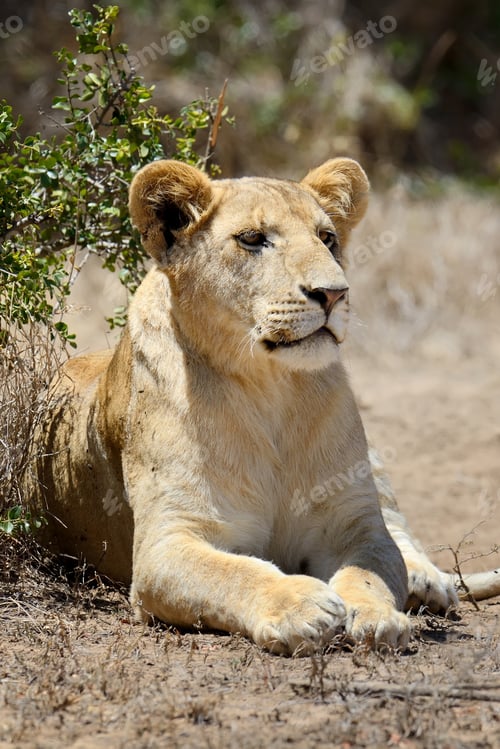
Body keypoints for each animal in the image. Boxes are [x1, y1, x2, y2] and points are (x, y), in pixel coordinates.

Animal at [28, 158, 500, 655]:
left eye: (327, 238)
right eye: (253, 239)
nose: (334, 293)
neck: (270, 389)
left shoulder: (355, 521)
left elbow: (370, 568)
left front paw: (376, 615)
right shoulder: (167, 541)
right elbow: (233, 572)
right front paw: (302, 606)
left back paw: (428, 582)